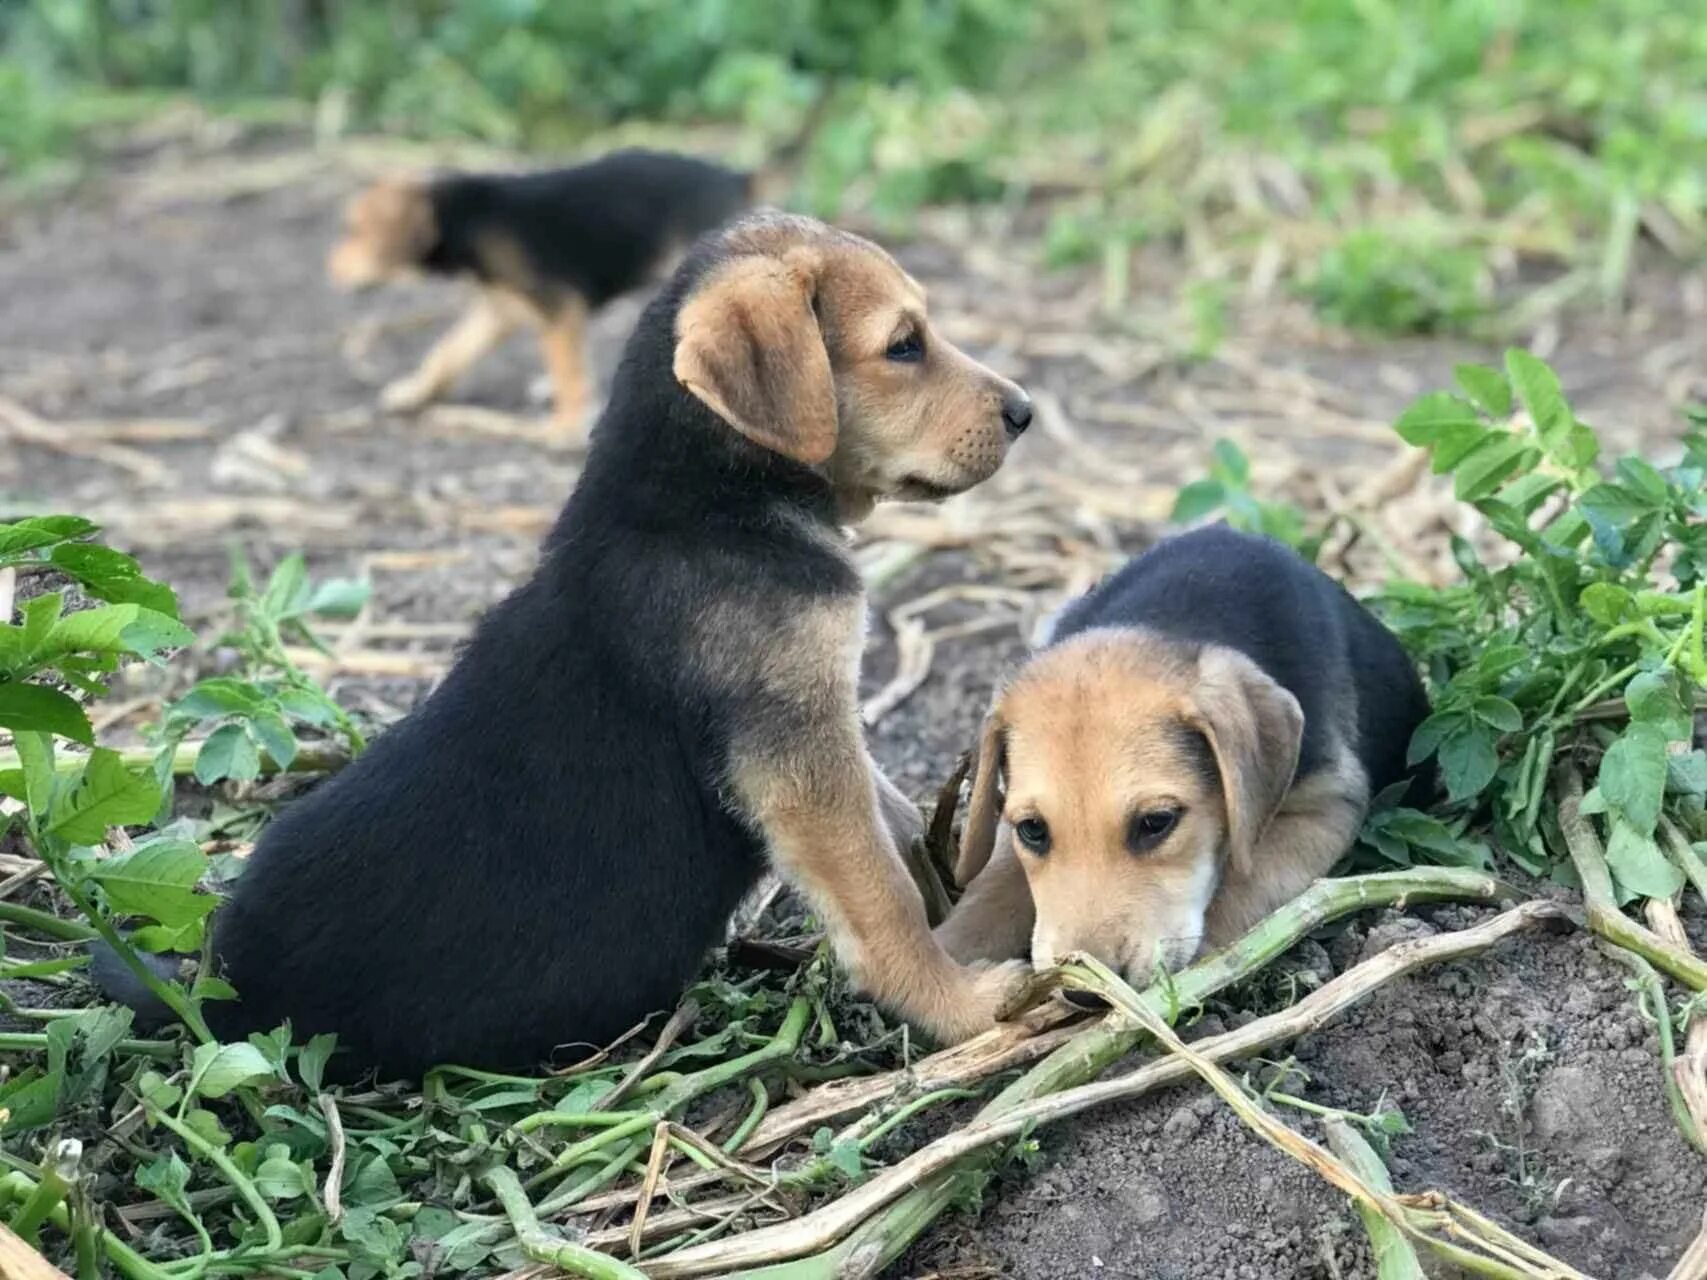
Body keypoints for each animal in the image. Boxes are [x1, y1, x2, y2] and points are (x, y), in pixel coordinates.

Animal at [99, 213, 1031, 1085]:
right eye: (902, 345)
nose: (1024, 412)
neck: (702, 497)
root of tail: (213, 984)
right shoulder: (796, 754)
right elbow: (879, 898)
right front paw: (960, 1003)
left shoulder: (820, 722)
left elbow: (892, 816)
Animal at [935, 525, 1427, 989]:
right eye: (1033, 830)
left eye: (1156, 823)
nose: (1087, 993)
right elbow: (994, 885)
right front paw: (944, 962)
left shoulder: (1326, 804)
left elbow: (1243, 883)